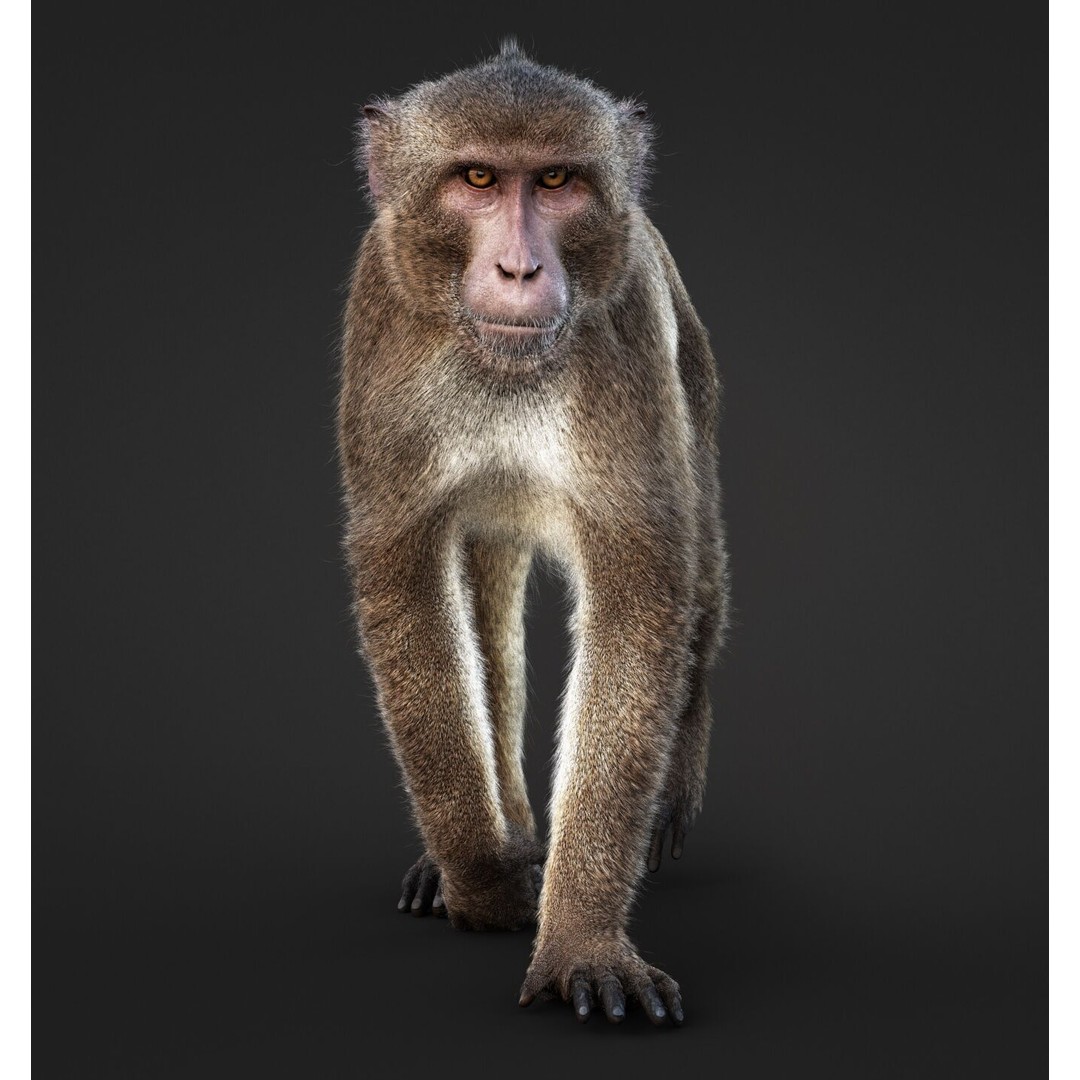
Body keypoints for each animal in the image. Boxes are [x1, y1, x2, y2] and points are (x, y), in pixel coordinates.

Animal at [336, 40, 728, 1026]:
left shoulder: (628, 338)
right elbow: (407, 582)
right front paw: (481, 876)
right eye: (478, 178)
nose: (519, 269)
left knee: (702, 579)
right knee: (482, 590)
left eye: (555, 181)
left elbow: (641, 598)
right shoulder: (380, 318)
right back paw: (505, 827)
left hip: (696, 377)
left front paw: (580, 938)